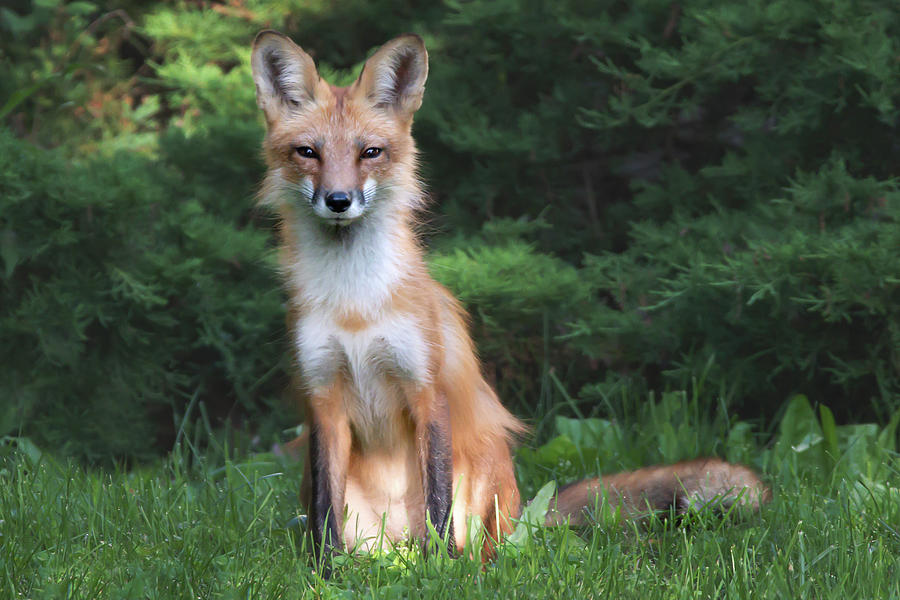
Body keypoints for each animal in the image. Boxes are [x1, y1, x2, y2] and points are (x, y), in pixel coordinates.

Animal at [250, 31, 768, 556]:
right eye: (308, 152)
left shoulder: (426, 388)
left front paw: (440, 567)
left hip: (483, 467)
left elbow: (437, 504)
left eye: (370, 152)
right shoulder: (323, 398)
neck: (355, 305)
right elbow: (325, 514)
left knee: (482, 546)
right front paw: (325, 570)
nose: (338, 201)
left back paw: (457, 560)